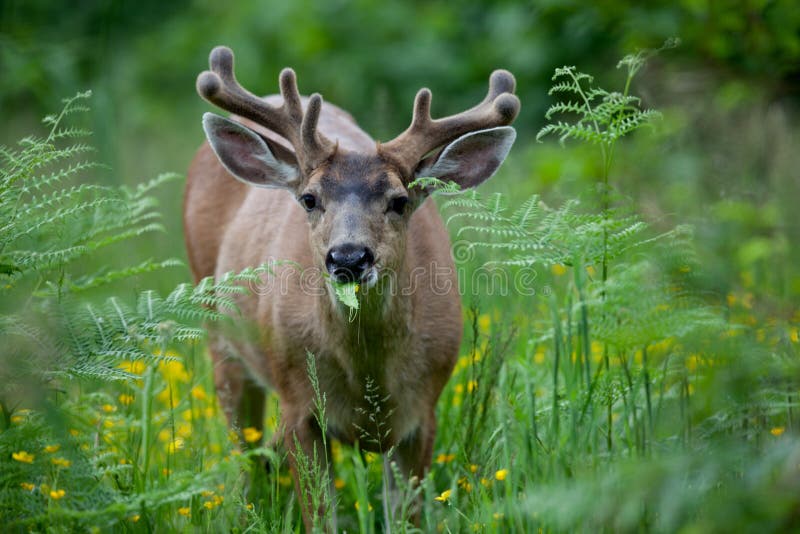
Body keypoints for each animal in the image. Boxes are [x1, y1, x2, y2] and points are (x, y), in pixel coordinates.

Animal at [184, 46, 519, 530]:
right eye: (309, 198)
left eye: (400, 201)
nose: (347, 258)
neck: (369, 374)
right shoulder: (299, 405)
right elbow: (320, 517)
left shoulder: (425, 411)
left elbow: (406, 518)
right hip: (219, 334)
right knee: (243, 452)